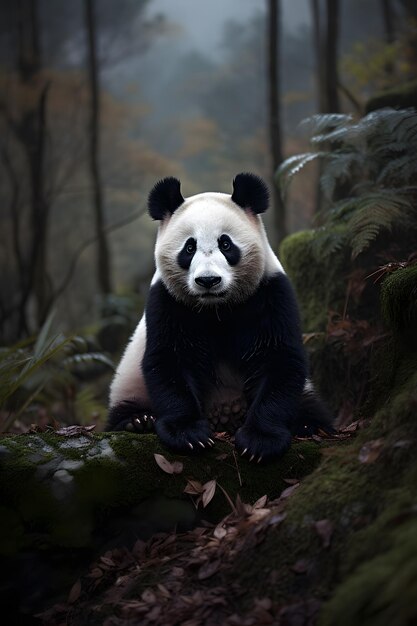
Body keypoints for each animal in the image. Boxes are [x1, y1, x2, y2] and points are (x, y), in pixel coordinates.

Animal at [108, 173, 332, 460]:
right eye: (189, 248)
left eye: (225, 244)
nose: (208, 280)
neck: (217, 308)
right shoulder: (167, 300)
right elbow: (169, 360)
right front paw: (189, 434)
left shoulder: (270, 293)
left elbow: (278, 358)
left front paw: (260, 441)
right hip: (130, 384)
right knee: (122, 409)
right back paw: (139, 421)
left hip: (305, 391)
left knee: (312, 407)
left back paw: (307, 425)